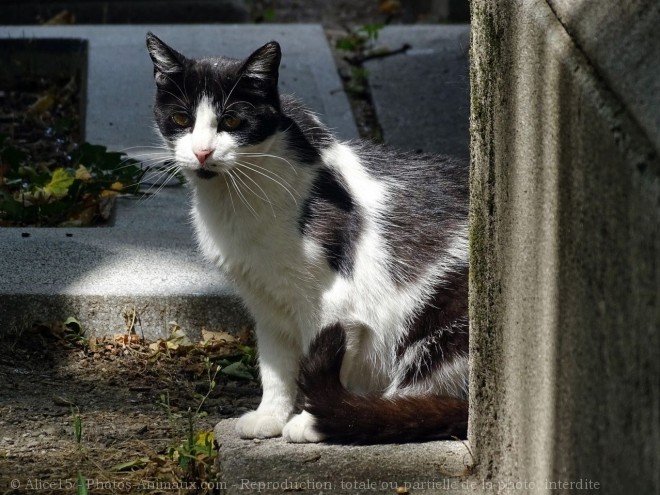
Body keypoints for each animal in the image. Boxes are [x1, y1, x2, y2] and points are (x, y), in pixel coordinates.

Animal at [148, 33, 472, 444]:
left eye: (232, 120)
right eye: (181, 119)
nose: (202, 152)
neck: (237, 201)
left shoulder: (337, 304)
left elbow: (326, 359)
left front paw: (311, 421)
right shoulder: (266, 302)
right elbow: (275, 366)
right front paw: (269, 416)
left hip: (441, 318)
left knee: (426, 399)